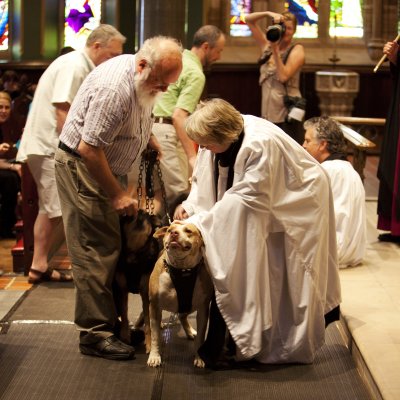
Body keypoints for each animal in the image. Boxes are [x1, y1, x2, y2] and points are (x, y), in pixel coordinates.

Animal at [147, 220, 214, 368]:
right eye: (169, 230)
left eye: (188, 231)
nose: (173, 233)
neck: (182, 270)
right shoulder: (154, 305)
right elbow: (155, 336)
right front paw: (154, 356)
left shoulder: (203, 309)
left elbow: (201, 336)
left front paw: (199, 357)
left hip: (188, 306)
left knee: (182, 316)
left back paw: (189, 331)